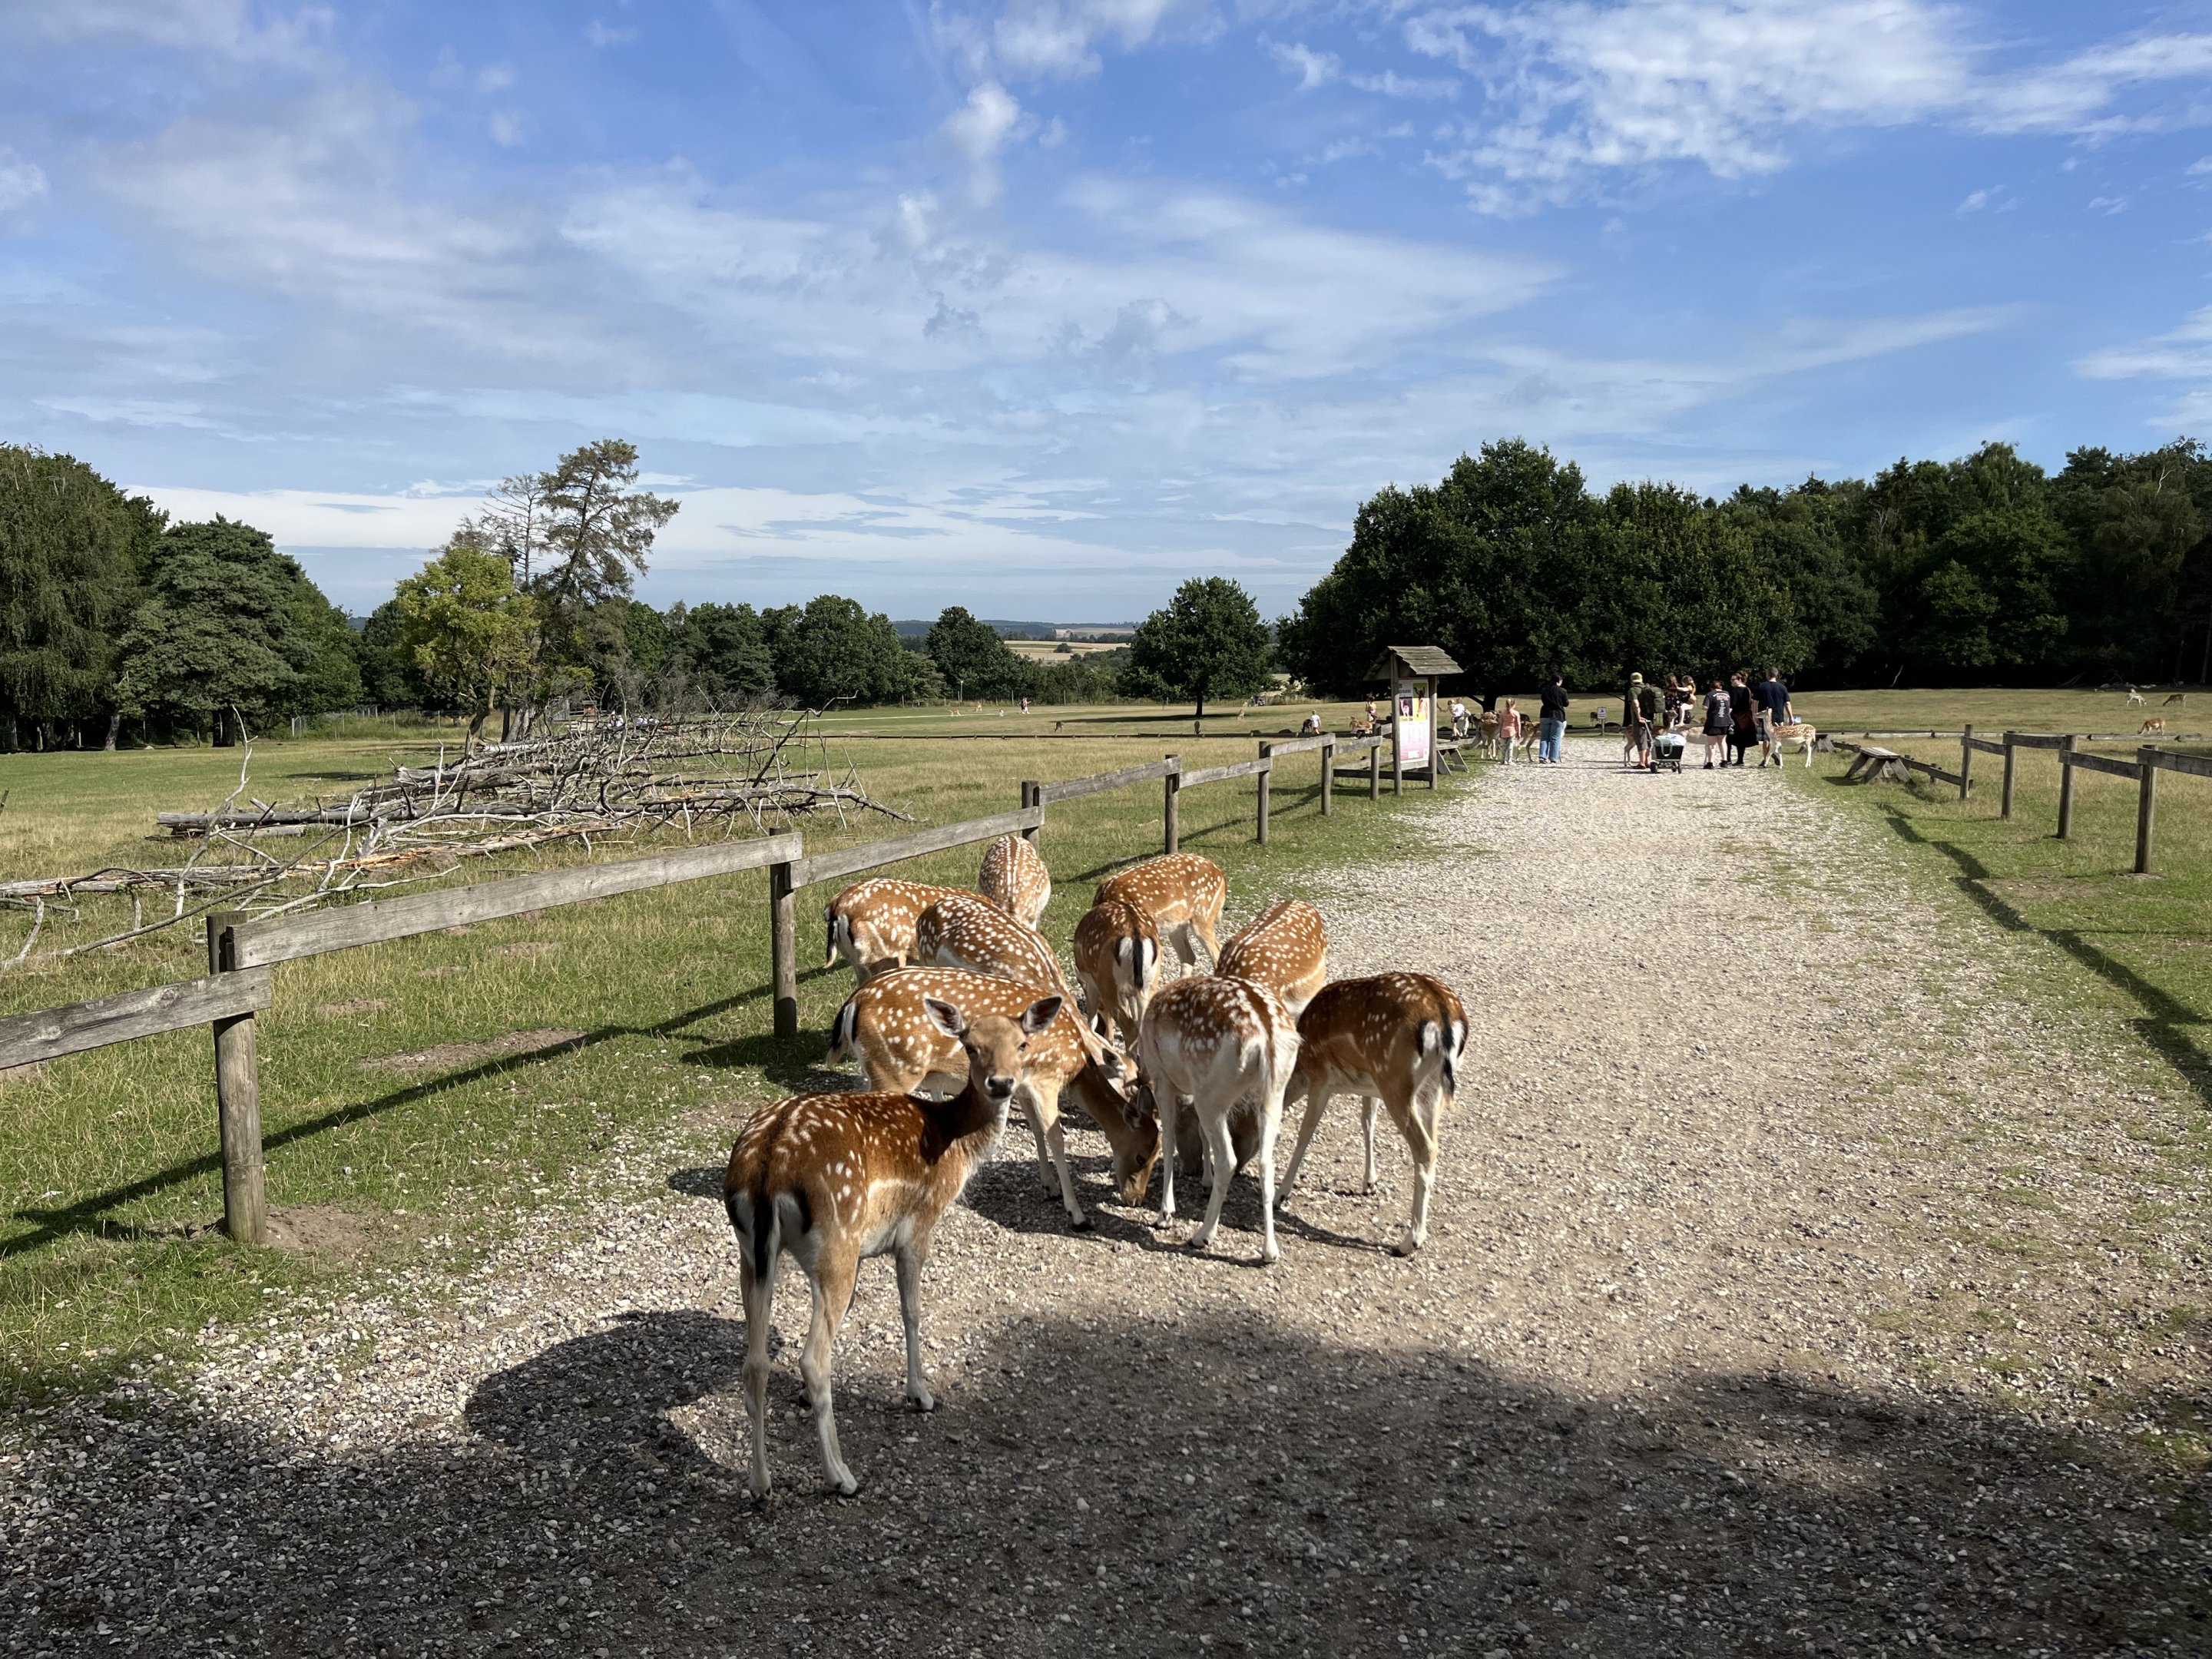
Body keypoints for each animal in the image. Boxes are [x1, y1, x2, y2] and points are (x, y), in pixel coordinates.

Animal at [725, 990, 1062, 1496]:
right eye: (971, 1046)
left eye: (1022, 1044)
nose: (1001, 1084)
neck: (956, 1146)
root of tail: (767, 1164)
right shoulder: (918, 1224)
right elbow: (912, 1310)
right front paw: (920, 1394)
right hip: (837, 1238)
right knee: (812, 1360)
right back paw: (841, 1476)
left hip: (754, 1250)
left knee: (755, 1361)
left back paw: (761, 1483)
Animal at [828, 966, 1160, 1226]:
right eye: (1142, 1155)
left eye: (1157, 1154)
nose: (1135, 1199)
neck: (1075, 1069)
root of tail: (852, 1004)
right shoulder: (1046, 1081)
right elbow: (1056, 1137)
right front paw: (1076, 1213)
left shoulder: (1023, 1086)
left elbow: (1037, 1131)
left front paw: (1049, 1187)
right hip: (893, 1070)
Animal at [1073, 894, 1161, 1046]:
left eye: (1101, 1007)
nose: (1106, 1034)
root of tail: (1135, 934)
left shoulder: (1090, 983)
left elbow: (1092, 1020)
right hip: (1149, 983)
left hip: (1109, 984)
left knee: (1131, 1030)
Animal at [1137, 975, 1300, 1265]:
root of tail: (1265, 1035)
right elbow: (1201, 1135)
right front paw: (1205, 1181)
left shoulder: (1162, 1078)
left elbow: (1167, 1140)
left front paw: (1165, 1214)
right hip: (1274, 1092)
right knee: (1266, 1162)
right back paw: (1270, 1251)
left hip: (1211, 1092)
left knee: (1229, 1160)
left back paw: (1202, 1235)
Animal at [1277, 973, 1468, 1257]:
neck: (1300, 1067)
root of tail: (1443, 1016)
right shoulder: (1370, 1085)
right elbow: (1367, 1121)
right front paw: (1369, 1183)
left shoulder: (1321, 1077)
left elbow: (1306, 1131)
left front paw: (1281, 1194)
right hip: (1429, 1089)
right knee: (1434, 1142)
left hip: (1395, 1079)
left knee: (1425, 1147)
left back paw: (1409, 1241)